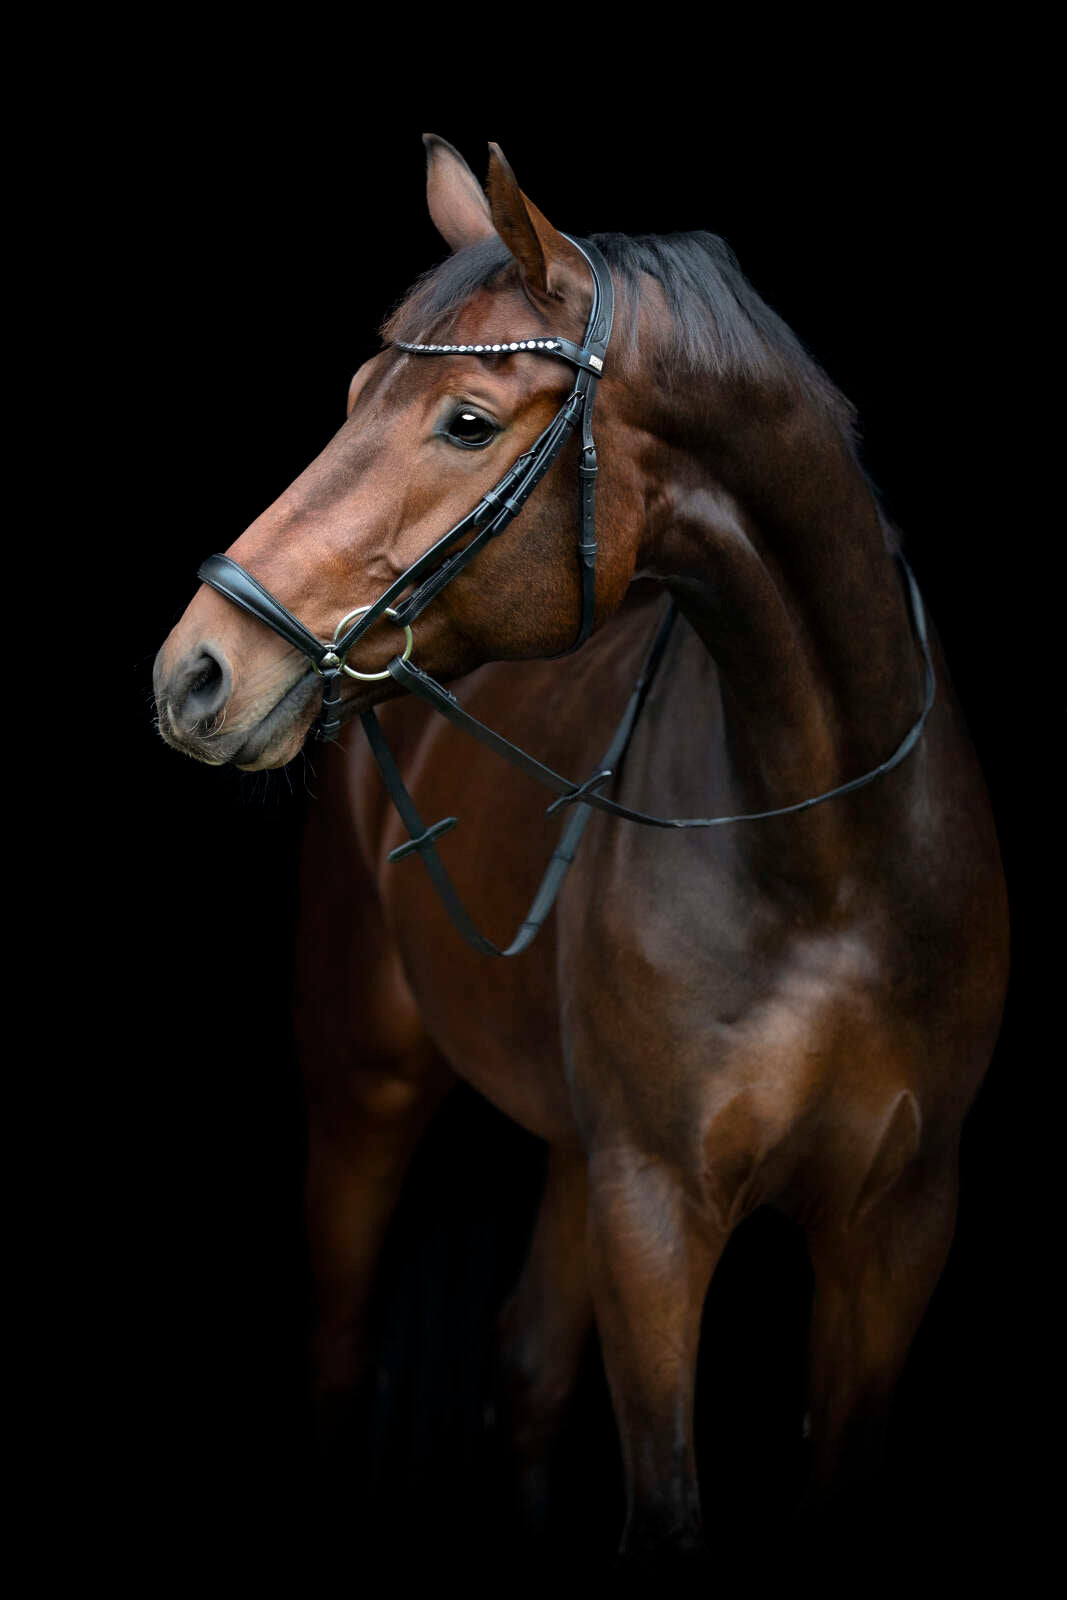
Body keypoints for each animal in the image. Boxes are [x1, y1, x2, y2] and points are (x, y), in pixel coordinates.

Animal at [152, 135, 1009, 1559]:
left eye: (465, 422)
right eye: (351, 394)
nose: (197, 671)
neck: (829, 862)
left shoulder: (897, 1229)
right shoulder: (653, 1211)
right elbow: (663, 1500)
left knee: (526, 1371)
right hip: (366, 1089)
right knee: (341, 1349)